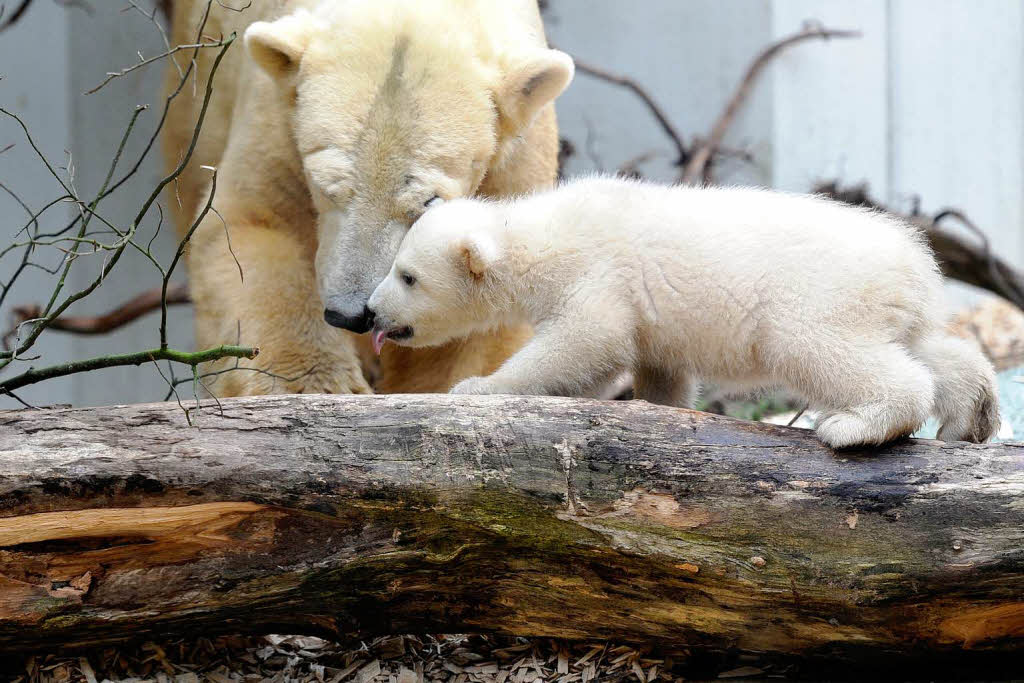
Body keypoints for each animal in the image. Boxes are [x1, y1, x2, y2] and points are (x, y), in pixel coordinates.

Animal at [163, 0, 573, 393]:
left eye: (427, 202)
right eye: (326, 185)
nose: (352, 314)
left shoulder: (513, 158)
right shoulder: (279, 113)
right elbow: (256, 222)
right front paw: (315, 384)